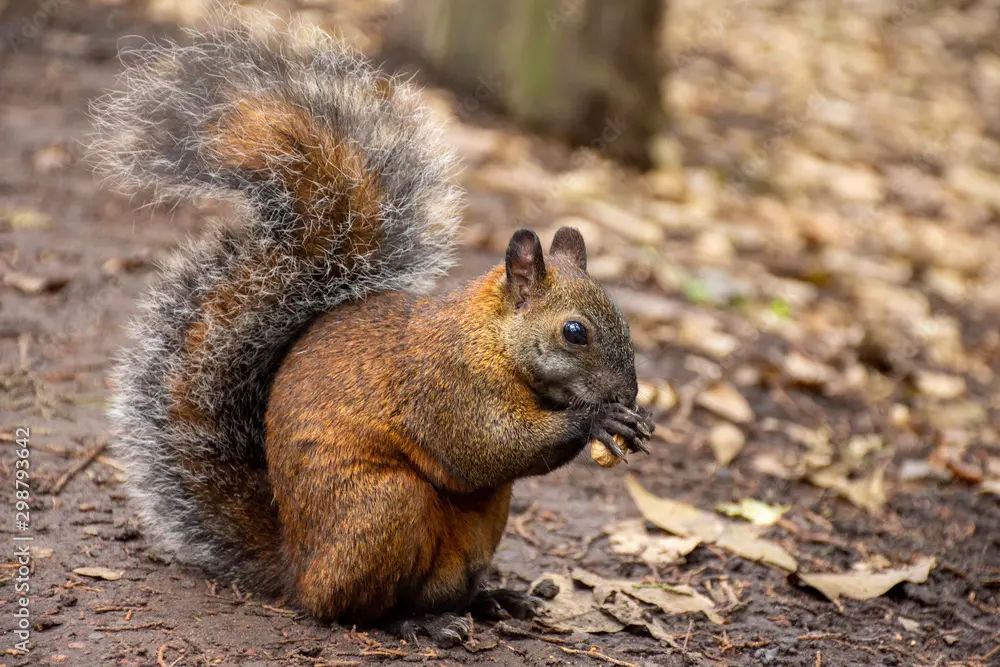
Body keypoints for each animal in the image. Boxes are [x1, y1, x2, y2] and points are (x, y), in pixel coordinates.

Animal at [92, 16, 654, 634]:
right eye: (575, 332)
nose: (629, 392)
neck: (490, 339)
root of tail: (296, 568)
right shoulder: (445, 385)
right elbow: (482, 447)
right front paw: (598, 418)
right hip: (385, 507)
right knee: (356, 607)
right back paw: (415, 623)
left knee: (447, 589)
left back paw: (492, 599)